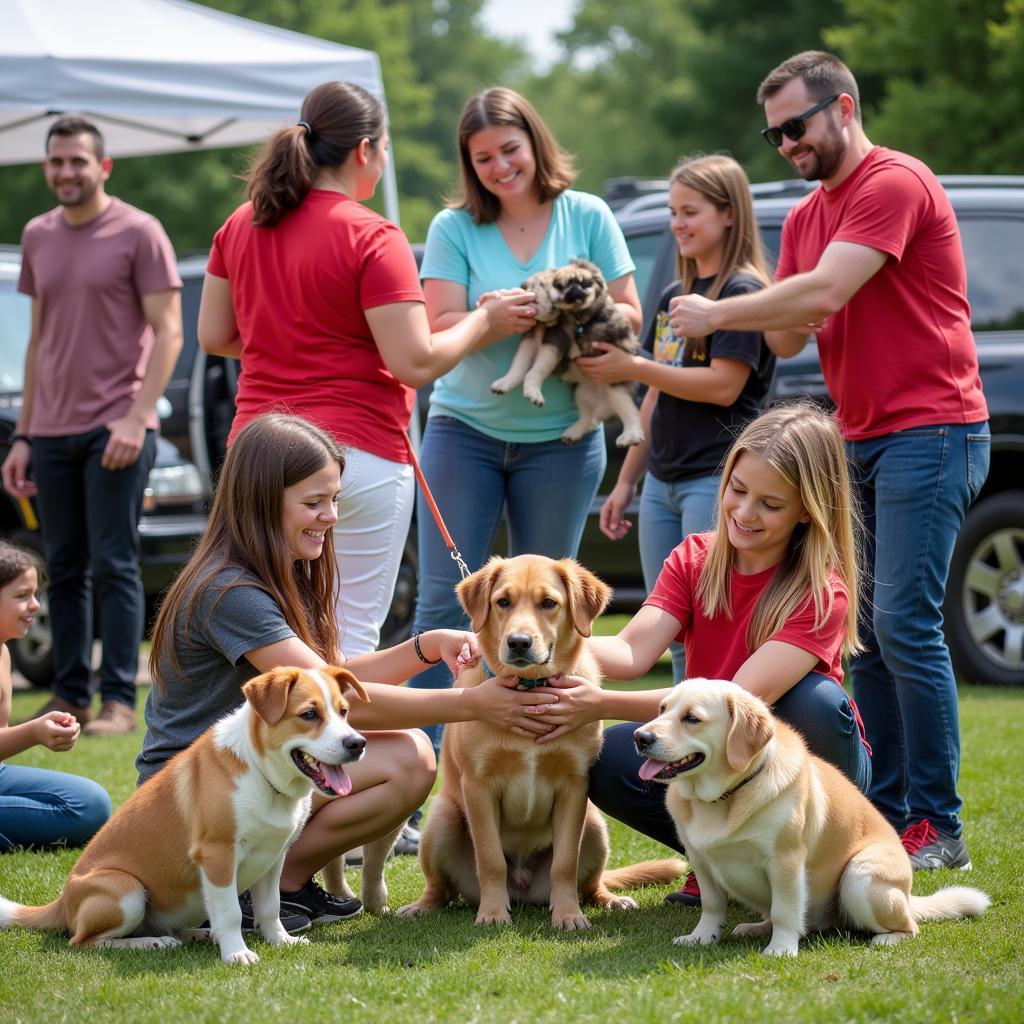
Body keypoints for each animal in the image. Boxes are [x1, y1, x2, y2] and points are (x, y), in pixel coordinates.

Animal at [0, 667, 368, 962]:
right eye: (309, 714)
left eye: (344, 711)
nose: (358, 744)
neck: (261, 773)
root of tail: (63, 903)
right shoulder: (217, 854)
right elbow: (231, 912)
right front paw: (237, 954)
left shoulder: (273, 857)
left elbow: (270, 907)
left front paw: (281, 941)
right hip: (125, 889)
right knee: (83, 941)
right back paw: (152, 943)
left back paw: (194, 934)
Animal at [395, 557, 684, 933]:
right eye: (503, 601)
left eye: (548, 602)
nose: (518, 642)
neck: (532, 691)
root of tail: (523, 888)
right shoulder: (478, 787)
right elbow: (490, 859)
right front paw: (492, 913)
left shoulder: (574, 787)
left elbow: (564, 863)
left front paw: (568, 914)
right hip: (441, 821)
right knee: (440, 889)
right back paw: (422, 906)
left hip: (595, 826)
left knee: (592, 883)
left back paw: (610, 900)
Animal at [487, 258, 638, 446]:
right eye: (556, 285)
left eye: (586, 283)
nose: (576, 292)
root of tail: (604, 406)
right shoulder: (531, 339)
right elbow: (519, 364)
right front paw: (505, 382)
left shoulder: (555, 341)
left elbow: (537, 369)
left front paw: (533, 392)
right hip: (582, 394)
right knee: (589, 418)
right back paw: (574, 432)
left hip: (615, 384)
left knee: (629, 410)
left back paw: (631, 435)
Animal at [634, 679, 987, 958]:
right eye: (661, 709)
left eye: (692, 718)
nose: (639, 736)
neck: (724, 797)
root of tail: (909, 897)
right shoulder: (701, 861)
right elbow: (711, 905)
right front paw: (701, 938)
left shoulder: (786, 860)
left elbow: (785, 910)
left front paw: (781, 949)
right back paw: (756, 928)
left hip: (859, 877)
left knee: (909, 926)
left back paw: (886, 939)